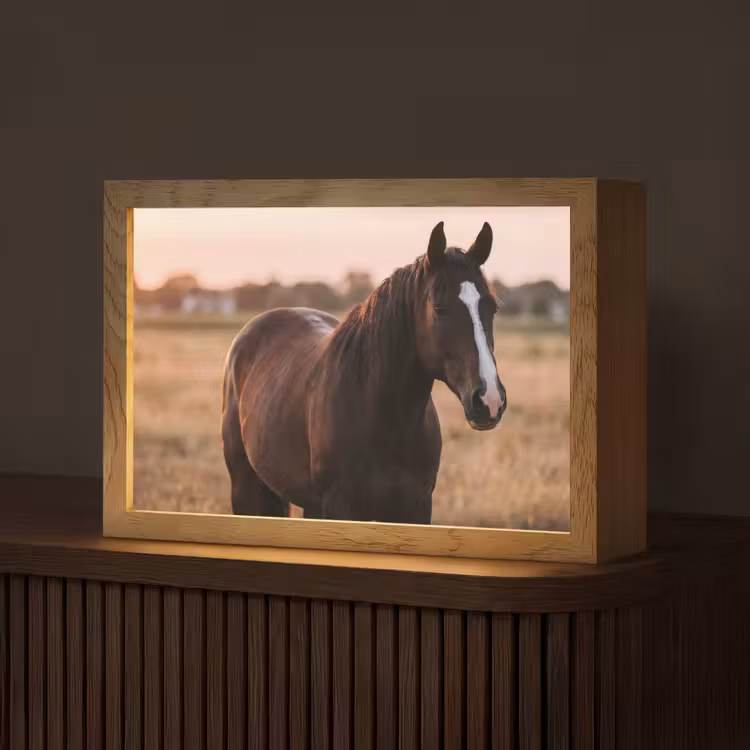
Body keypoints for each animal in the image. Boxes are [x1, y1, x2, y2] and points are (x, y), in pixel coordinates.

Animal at [220, 221, 507, 524]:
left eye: (493, 307)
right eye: (439, 308)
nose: (489, 400)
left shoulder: (416, 509)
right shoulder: (338, 509)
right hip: (245, 485)